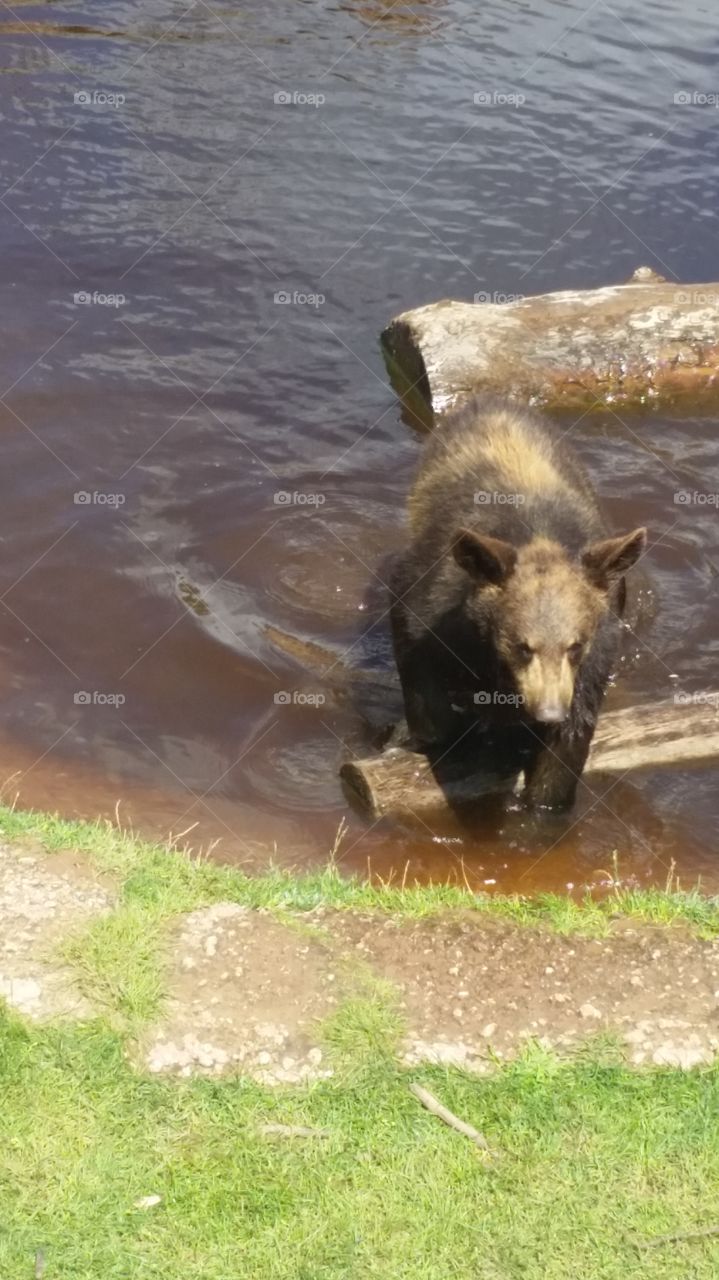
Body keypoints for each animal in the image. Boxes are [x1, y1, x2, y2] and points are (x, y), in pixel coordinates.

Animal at [388, 396, 647, 811]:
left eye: (575, 646)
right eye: (522, 646)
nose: (549, 712)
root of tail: (492, 400)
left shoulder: (596, 653)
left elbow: (568, 746)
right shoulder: (428, 603)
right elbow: (420, 673)